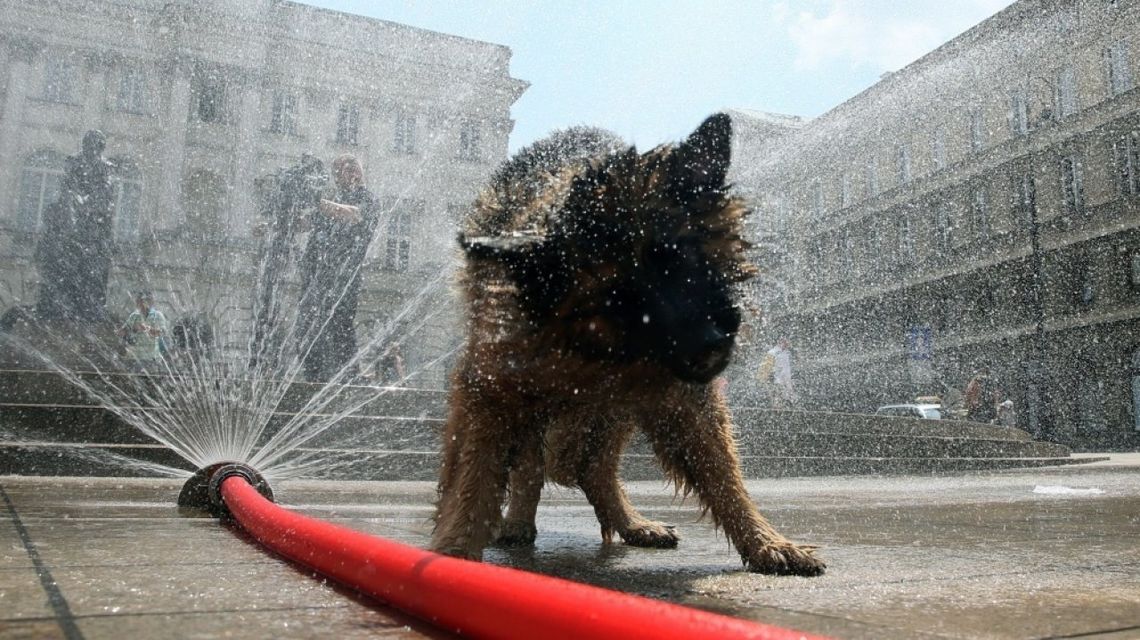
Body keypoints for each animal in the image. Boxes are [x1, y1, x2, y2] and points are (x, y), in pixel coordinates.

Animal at [430, 113, 825, 574]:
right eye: (619, 297)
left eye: (680, 259)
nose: (709, 347)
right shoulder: (493, 384)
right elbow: (473, 476)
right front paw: (456, 551)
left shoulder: (681, 395)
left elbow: (721, 469)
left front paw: (764, 540)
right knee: (536, 464)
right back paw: (519, 522)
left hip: (615, 410)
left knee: (592, 467)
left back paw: (630, 522)